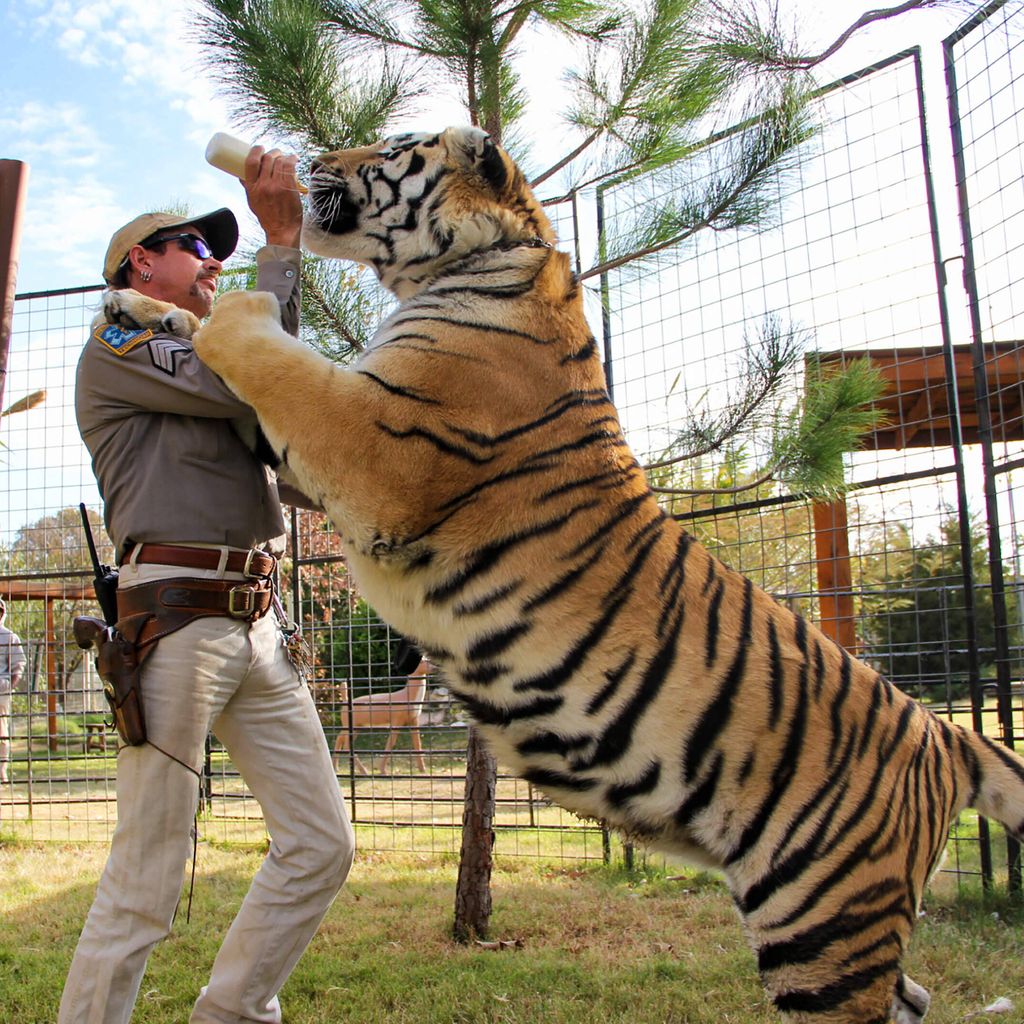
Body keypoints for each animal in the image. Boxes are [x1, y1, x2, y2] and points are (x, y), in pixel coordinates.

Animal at [112, 125, 1024, 1023]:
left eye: (393, 146)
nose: (312, 162)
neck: (478, 261)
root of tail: (944, 735)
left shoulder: (372, 444)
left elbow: (262, 350)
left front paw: (228, 304)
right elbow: (209, 344)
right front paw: (137, 307)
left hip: (823, 921)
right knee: (914, 994)